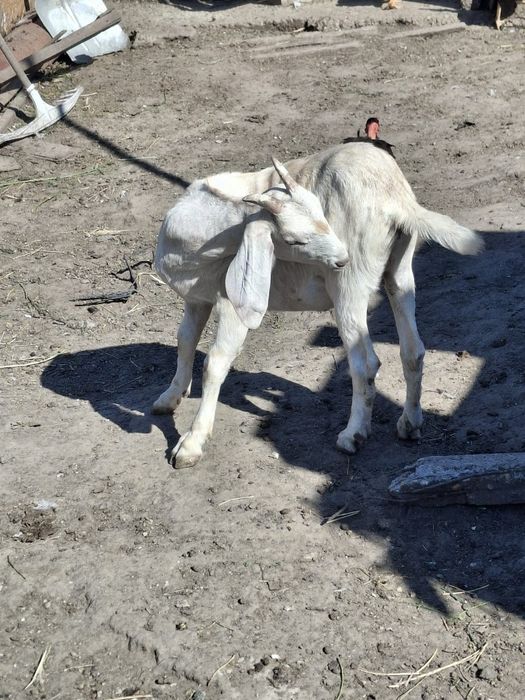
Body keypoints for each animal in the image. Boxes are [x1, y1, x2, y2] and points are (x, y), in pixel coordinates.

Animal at [153, 143, 482, 468]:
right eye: (293, 240)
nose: (342, 256)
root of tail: (394, 196)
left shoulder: (232, 303)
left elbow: (215, 363)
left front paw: (191, 444)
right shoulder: (197, 299)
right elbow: (185, 340)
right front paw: (170, 397)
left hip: (349, 285)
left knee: (366, 362)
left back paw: (353, 435)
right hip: (400, 268)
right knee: (413, 350)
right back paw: (410, 424)